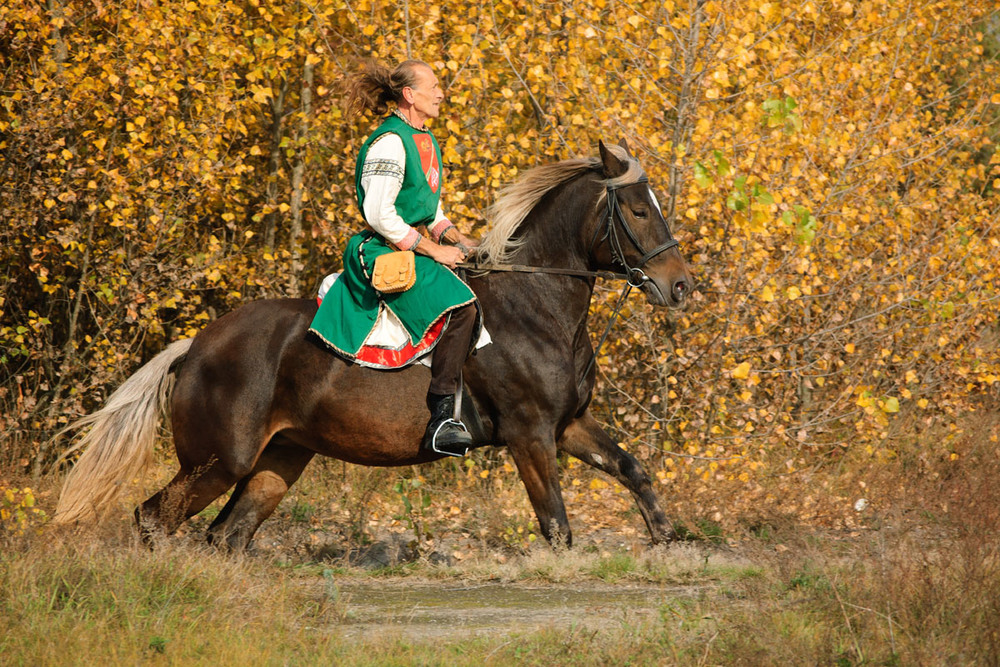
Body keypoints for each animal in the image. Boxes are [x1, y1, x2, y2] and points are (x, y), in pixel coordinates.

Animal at [54, 138, 692, 552]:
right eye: (639, 209)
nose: (680, 286)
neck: (536, 307)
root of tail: (196, 347)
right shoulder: (529, 433)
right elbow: (558, 527)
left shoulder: (568, 424)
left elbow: (633, 470)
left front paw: (669, 540)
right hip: (217, 459)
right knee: (153, 518)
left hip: (278, 460)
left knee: (225, 536)